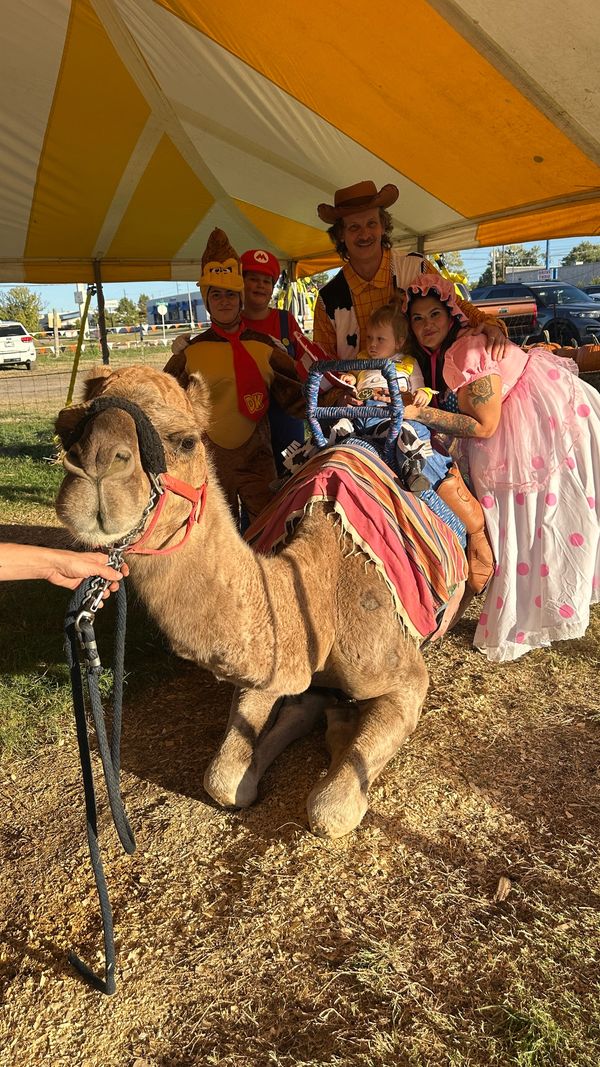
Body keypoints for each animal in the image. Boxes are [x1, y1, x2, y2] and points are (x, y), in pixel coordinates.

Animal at [55, 365, 466, 839]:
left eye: (186, 440)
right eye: (66, 430)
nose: (95, 471)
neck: (320, 594)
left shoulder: (406, 680)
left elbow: (329, 809)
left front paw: (341, 734)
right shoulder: (272, 665)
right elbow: (224, 779)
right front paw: (320, 721)